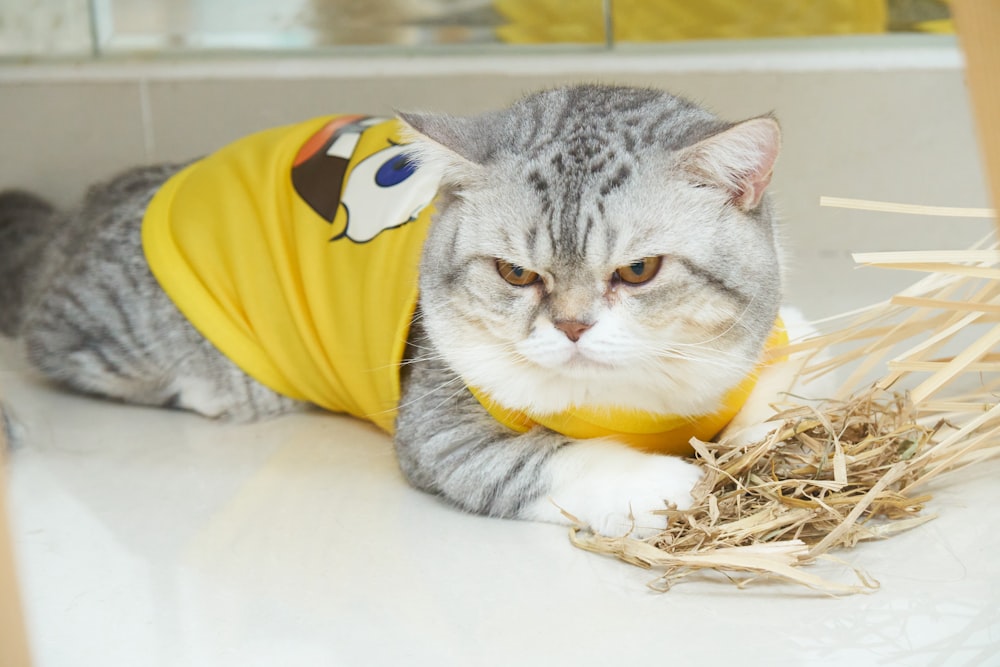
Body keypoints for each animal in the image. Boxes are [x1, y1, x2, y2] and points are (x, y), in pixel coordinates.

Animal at [0, 86, 796, 540]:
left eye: (638, 271)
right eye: (515, 273)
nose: (571, 327)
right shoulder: (441, 429)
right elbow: (561, 456)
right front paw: (675, 482)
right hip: (124, 334)